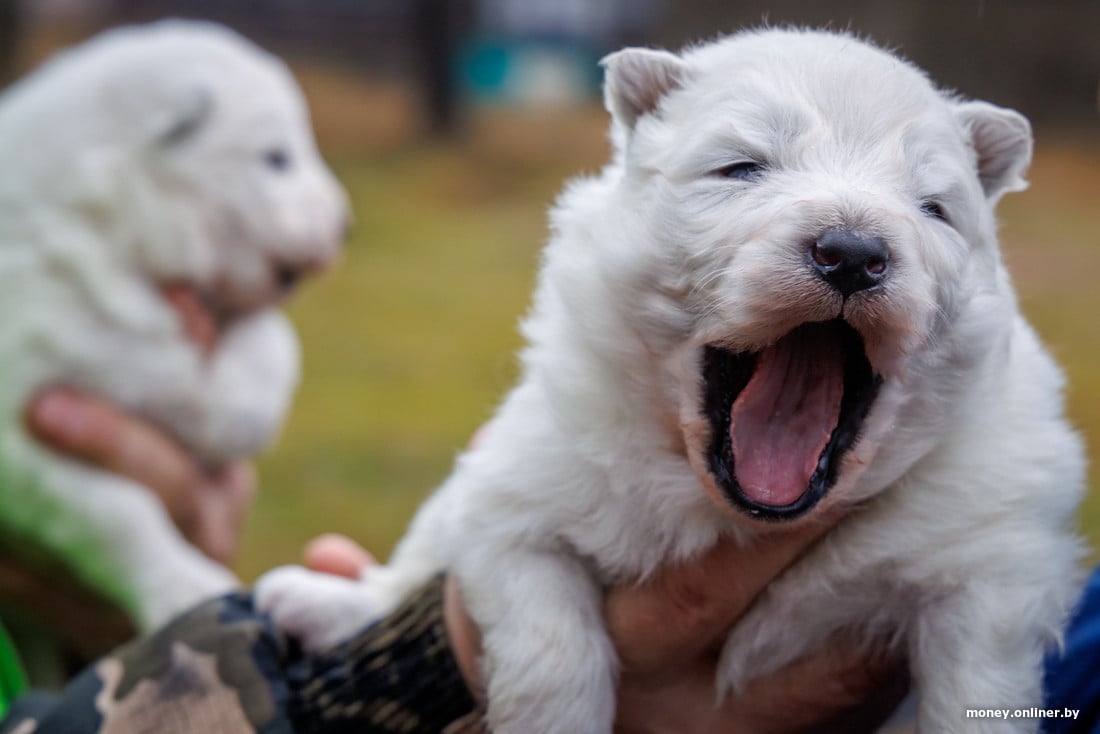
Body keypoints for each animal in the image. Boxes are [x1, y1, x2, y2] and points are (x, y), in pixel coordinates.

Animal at [0, 21, 347, 633]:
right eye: (276, 159)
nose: (345, 223)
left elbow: (270, 337)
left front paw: (228, 417)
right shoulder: (23, 438)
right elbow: (117, 511)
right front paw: (184, 584)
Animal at [255, 28, 1082, 734]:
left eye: (933, 207)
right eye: (742, 167)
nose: (852, 253)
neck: (730, 511)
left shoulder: (987, 576)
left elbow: (972, 697)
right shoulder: (518, 504)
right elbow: (552, 653)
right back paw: (319, 600)